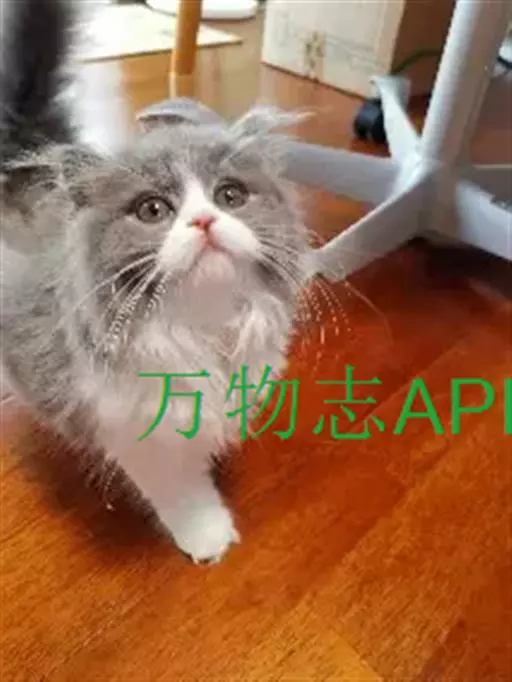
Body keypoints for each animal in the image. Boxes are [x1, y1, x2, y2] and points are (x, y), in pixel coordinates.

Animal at [0, 0, 309, 563]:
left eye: (230, 196)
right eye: (152, 210)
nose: (204, 222)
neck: (199, 326)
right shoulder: (132, 426)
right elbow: (179, 490)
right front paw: (208, 534)